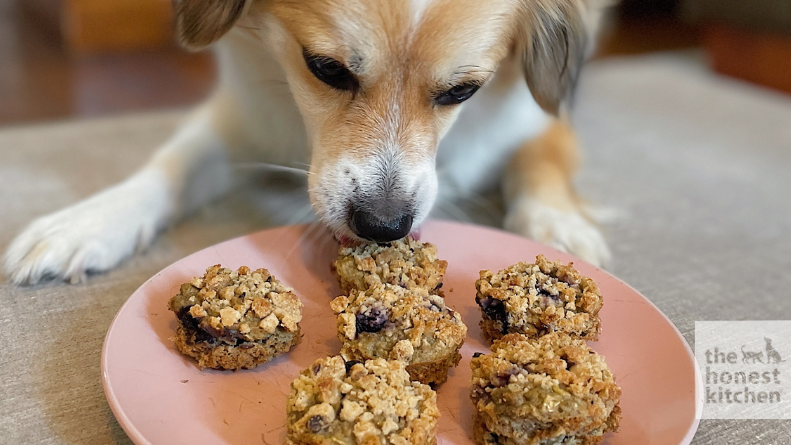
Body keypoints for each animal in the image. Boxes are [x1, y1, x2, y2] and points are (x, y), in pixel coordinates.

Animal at [3, 0, 612, 284]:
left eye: (462, 91)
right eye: (326, 68)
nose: (384, 227)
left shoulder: (536, 120)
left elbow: (540, 161)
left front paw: (558, 224)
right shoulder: (240, 121)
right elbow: (169, 168)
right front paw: (88, 221)